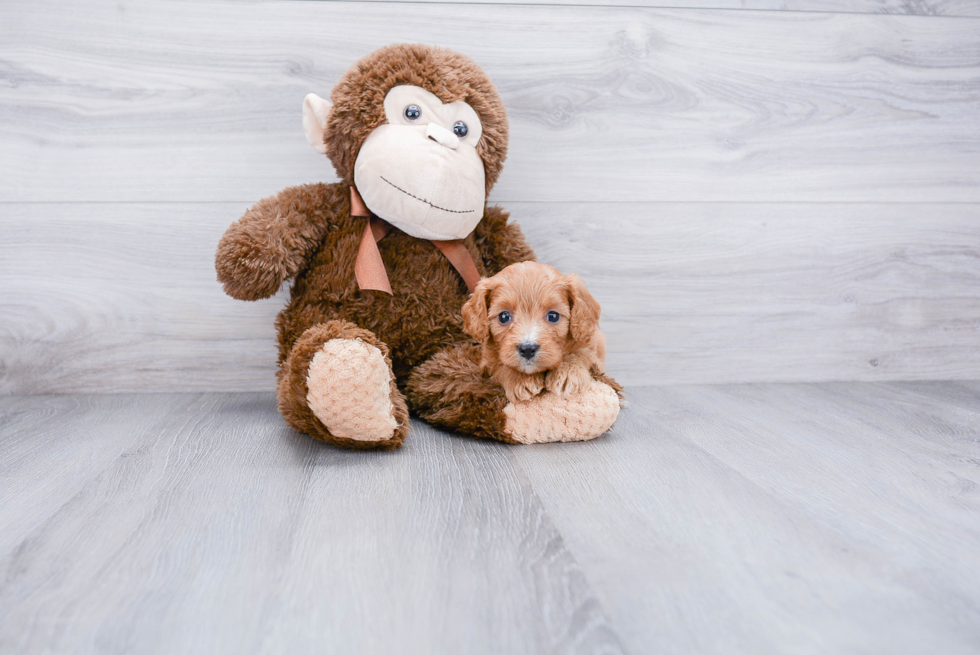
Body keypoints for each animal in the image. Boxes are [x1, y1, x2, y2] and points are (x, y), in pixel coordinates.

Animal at [462, 262, 604, 404]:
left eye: (553, 316)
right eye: (504, 317)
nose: (527, 349)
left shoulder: (593, 341)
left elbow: (580, 352)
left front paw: (568, 372)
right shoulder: (487, 362)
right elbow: (500, 364)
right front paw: (519, 378)